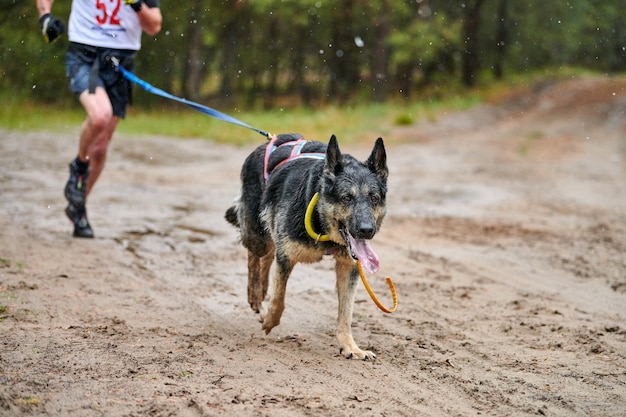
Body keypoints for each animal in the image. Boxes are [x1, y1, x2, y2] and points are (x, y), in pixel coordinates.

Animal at [224, 132, 386, 358]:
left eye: (374, 198)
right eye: (346, 198)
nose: (366, 230)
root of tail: (271, 141)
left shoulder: (348, 267)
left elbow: (346, 313)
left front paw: (350, 347)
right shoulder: (286, 257)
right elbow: (279, 300)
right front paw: (268, 321)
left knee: (267, 254)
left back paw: (262, 290)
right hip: (257, 236)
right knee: (255, 255)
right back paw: (255, 294)